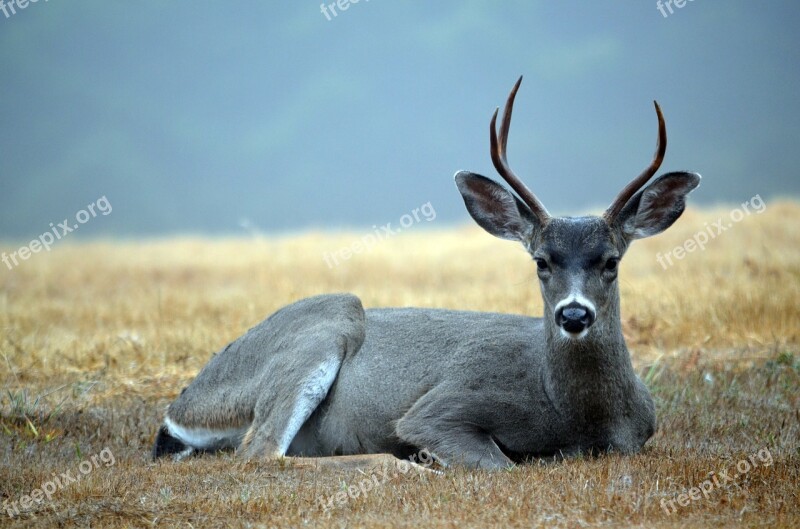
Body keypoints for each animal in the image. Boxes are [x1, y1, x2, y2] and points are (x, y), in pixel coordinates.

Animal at [152, 76, 700, 468]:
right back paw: (406, 465)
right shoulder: (441, 407)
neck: (577, 415)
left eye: (611, 261)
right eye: (541, 261)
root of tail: (179, 411)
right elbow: (497, 463)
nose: (573, 316)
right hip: (328, 320)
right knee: (259, 452)